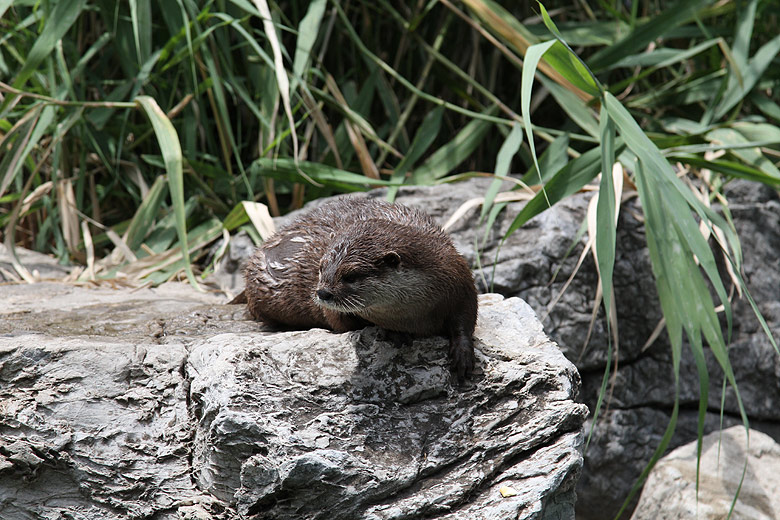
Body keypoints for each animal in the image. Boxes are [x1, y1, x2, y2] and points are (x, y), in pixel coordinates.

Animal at [240, 197, 478, 380]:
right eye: (321, 267)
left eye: (351, 276)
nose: (322, 293)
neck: (413, 315)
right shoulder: (334, 312)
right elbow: (342, 323)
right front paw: (392, 333)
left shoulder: (459, 281)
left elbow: (465, 320)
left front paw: (463, 354)